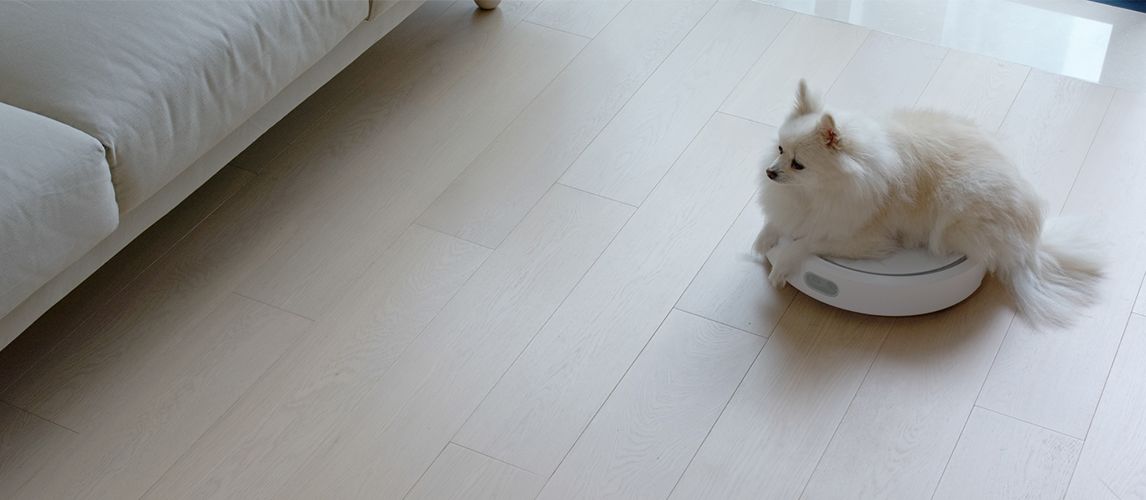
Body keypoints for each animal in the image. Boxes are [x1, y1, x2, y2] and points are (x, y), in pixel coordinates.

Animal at [760, 80, 1100, 325]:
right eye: (779, 149)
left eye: (798, 165)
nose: (769, 172)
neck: (818, 191)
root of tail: (1031, 241)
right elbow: (780, 222)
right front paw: (764, 238)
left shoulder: (863, 239)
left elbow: (807, 241)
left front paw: (783, 264)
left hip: (958, 209)